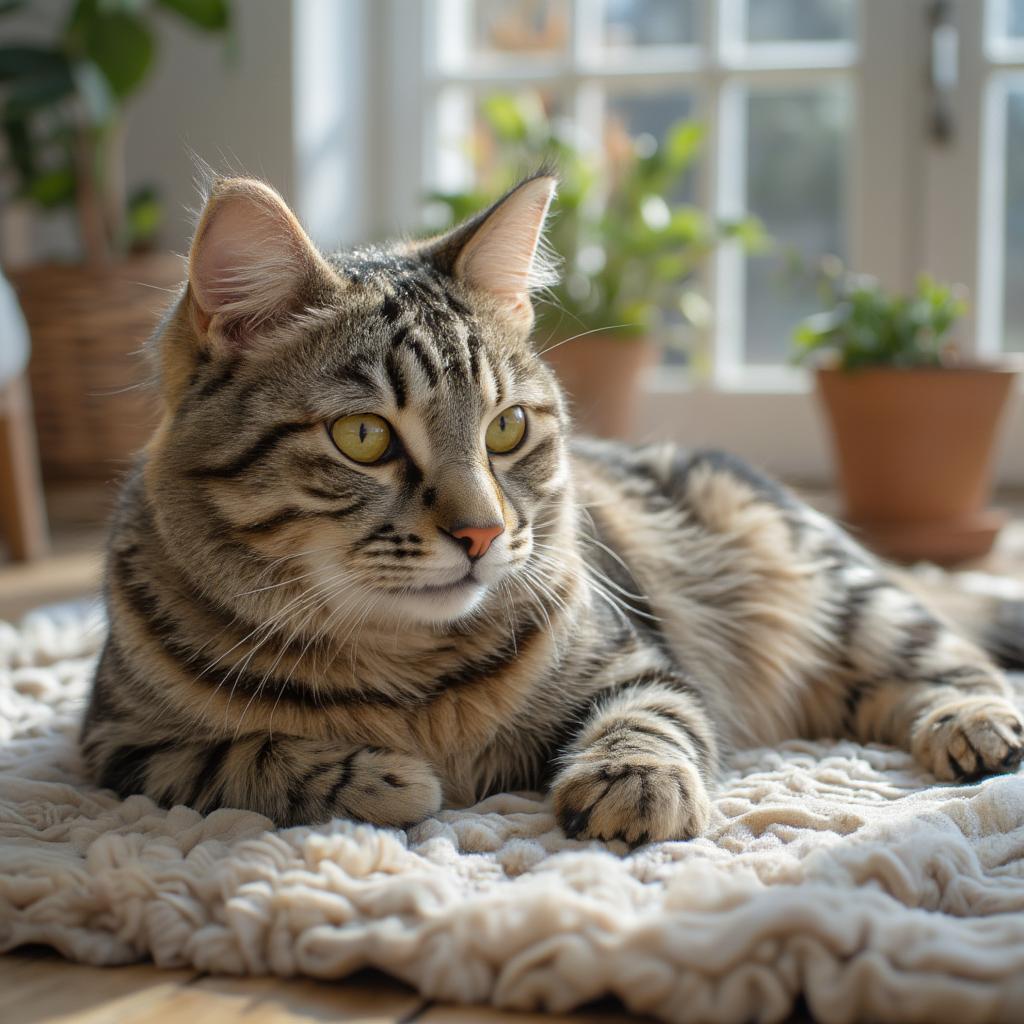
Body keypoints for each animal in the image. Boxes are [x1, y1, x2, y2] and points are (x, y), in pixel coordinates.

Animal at [79, 169, 1024, 839]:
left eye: (507, 428)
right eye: (364, 438)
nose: (482, 531)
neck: (403, 669)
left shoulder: (645, 665)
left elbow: (652, 722)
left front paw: (630, 785)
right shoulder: (120, 746)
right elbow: (247, 757)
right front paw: (378, 776)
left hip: (836, 592)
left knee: (946, 658)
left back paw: (977, 725)